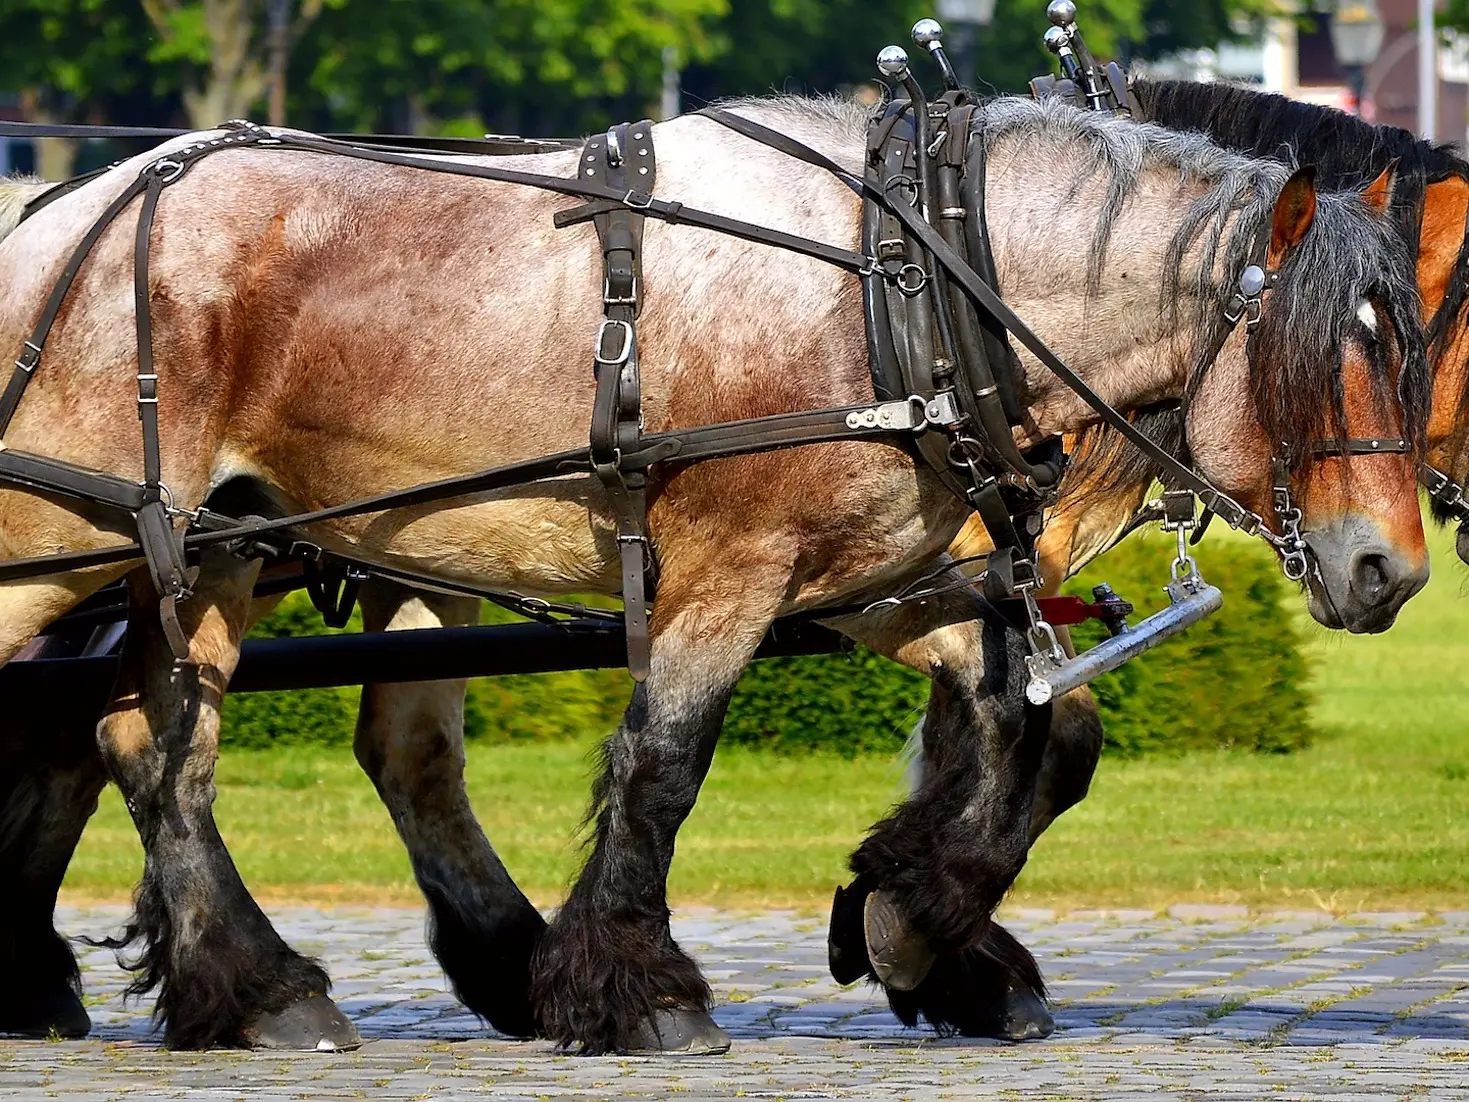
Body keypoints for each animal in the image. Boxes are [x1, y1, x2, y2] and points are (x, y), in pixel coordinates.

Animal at [0, 99, 1427, 1057]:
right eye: (1311, 362)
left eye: (1409, 360)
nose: (1390, 570)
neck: (901, 280)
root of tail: (62, 208)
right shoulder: (734, 572)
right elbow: (662, 763)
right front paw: (641, 989)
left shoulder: (875, 582)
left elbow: (1032, 727)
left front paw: (913, 920)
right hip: (73, 539)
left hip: (216, 547)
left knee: (161, 746)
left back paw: (258, 987)